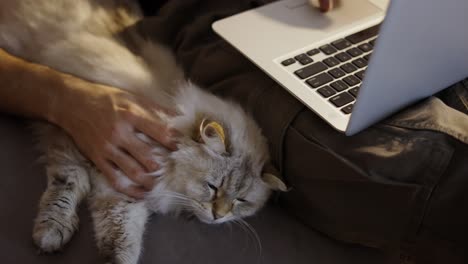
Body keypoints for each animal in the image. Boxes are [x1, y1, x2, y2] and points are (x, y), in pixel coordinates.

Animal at [0, 1, 286, 262]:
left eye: (241, 201)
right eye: (212, 187)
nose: (219, 216)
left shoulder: (122, 189)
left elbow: (121, 236)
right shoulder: (69, 135)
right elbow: (68, 186)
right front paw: (52, 232)